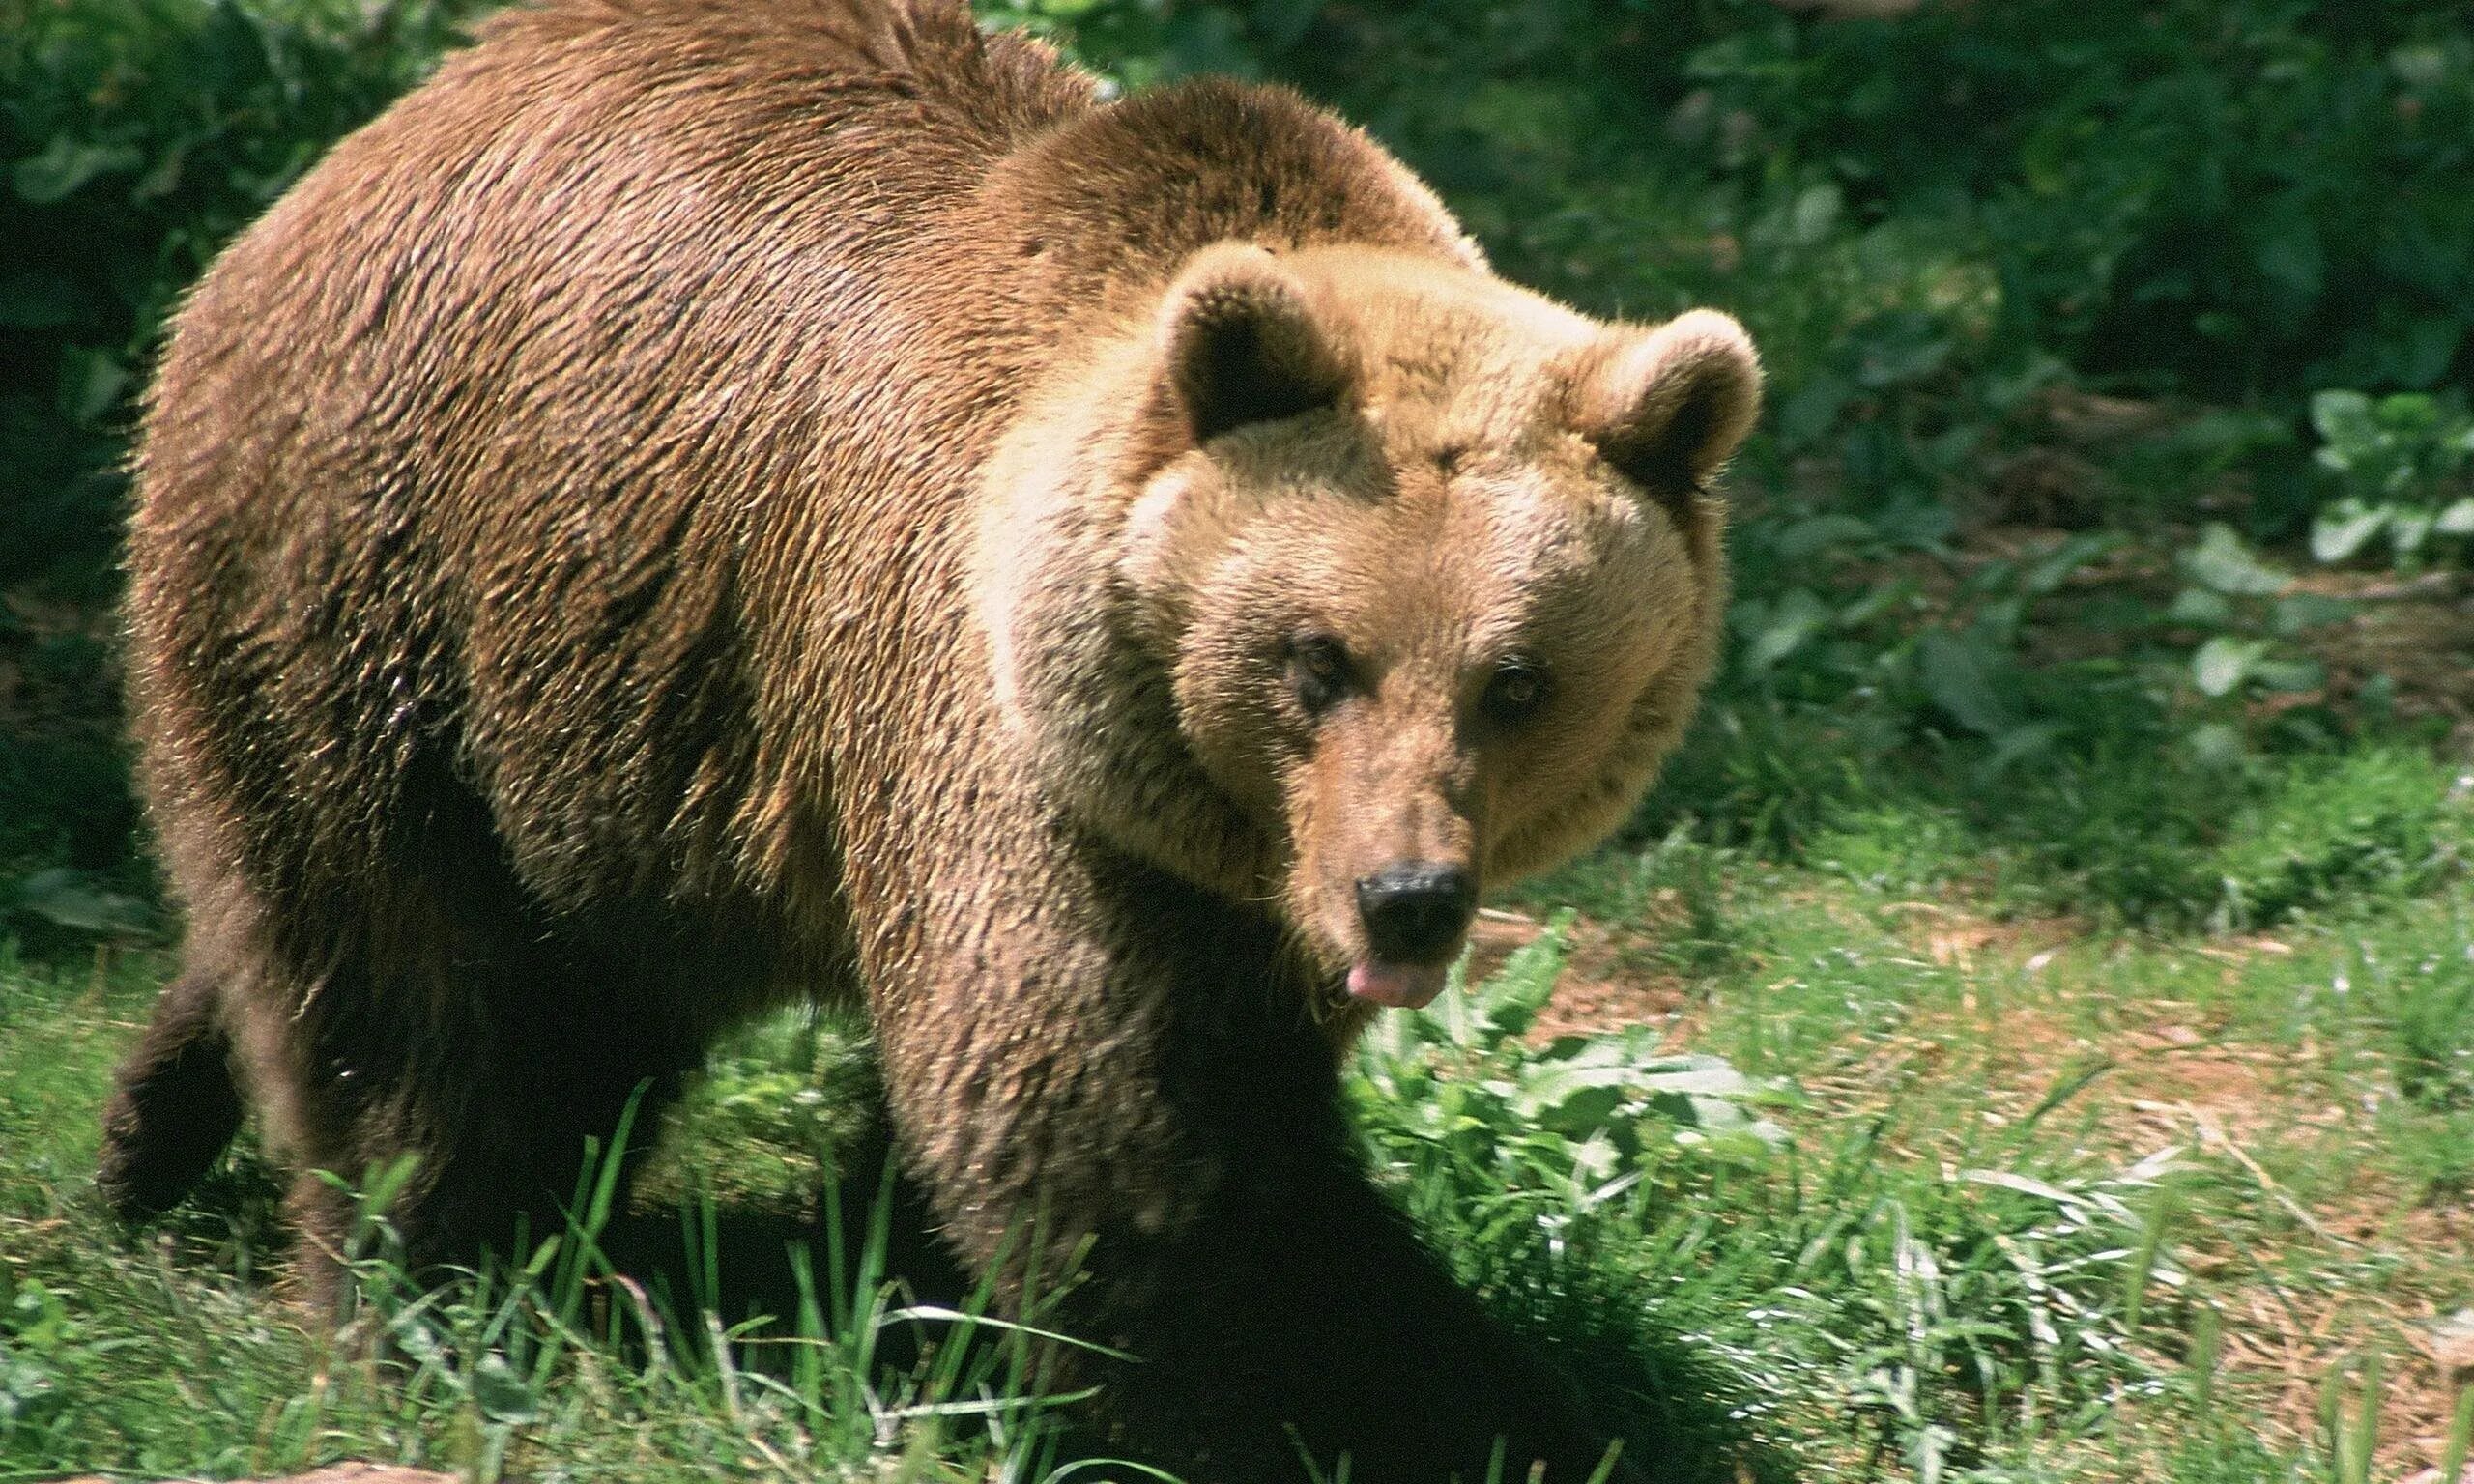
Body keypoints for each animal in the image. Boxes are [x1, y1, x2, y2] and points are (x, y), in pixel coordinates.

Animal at [96, 6, 1761, 1473]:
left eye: (1520, 681)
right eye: (1316, 657)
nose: (1404, 897)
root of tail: (359, 149)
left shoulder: (1210, 886)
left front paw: (909, 1297)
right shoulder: (990, 747)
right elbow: (1129, 1149)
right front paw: (1490, 1412)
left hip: (612, 726)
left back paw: (150, 1125)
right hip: (402, 577)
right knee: (427, 991)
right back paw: (433, 1301)